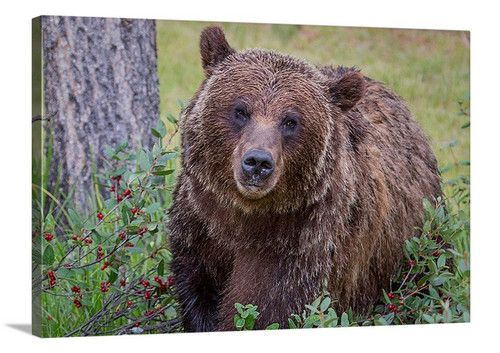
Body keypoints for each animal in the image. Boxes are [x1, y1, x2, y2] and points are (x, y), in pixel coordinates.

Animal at [169, 25, 442, 330]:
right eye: (240, 110)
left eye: (291, 121)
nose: (258, 162)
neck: (246, 217)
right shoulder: (200, 224)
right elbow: (197, 289)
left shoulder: (303, 244)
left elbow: (267, 309)